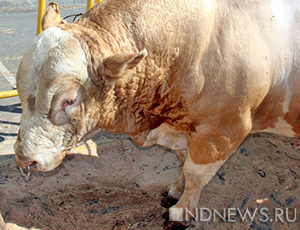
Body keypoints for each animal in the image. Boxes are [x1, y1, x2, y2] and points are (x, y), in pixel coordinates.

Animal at [13, 0, 300, 228]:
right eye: (18, 87)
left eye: (69, 100)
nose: (24, 159)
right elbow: (182, 163)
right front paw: (174, 191)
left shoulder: (223, 128)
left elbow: (195, 174)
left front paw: (181, 212)